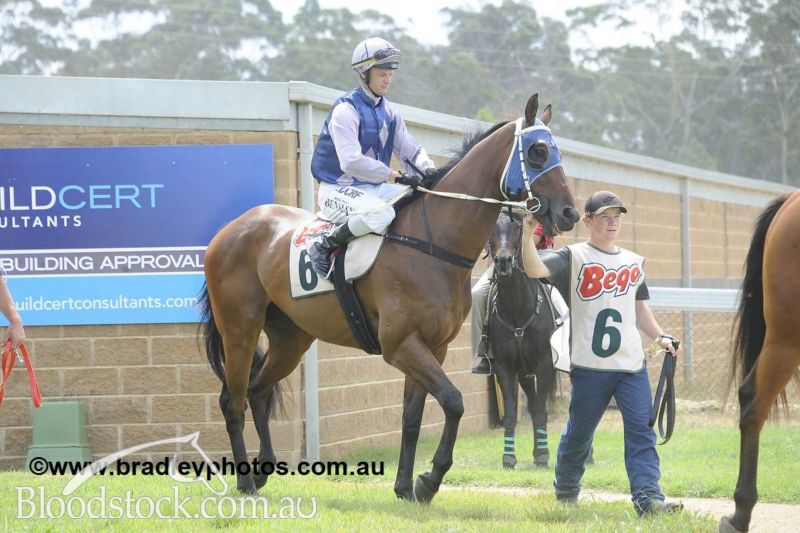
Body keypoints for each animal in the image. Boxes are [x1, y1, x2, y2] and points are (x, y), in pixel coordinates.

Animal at [487, 211, 557, 469]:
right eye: (491, 229)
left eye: (518, 230)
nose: (503, 262)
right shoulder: (505, 368)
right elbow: (510, 413)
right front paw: (509, 457)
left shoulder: (545, 365)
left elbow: (541, 411)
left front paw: (544, 456)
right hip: (525, 373)